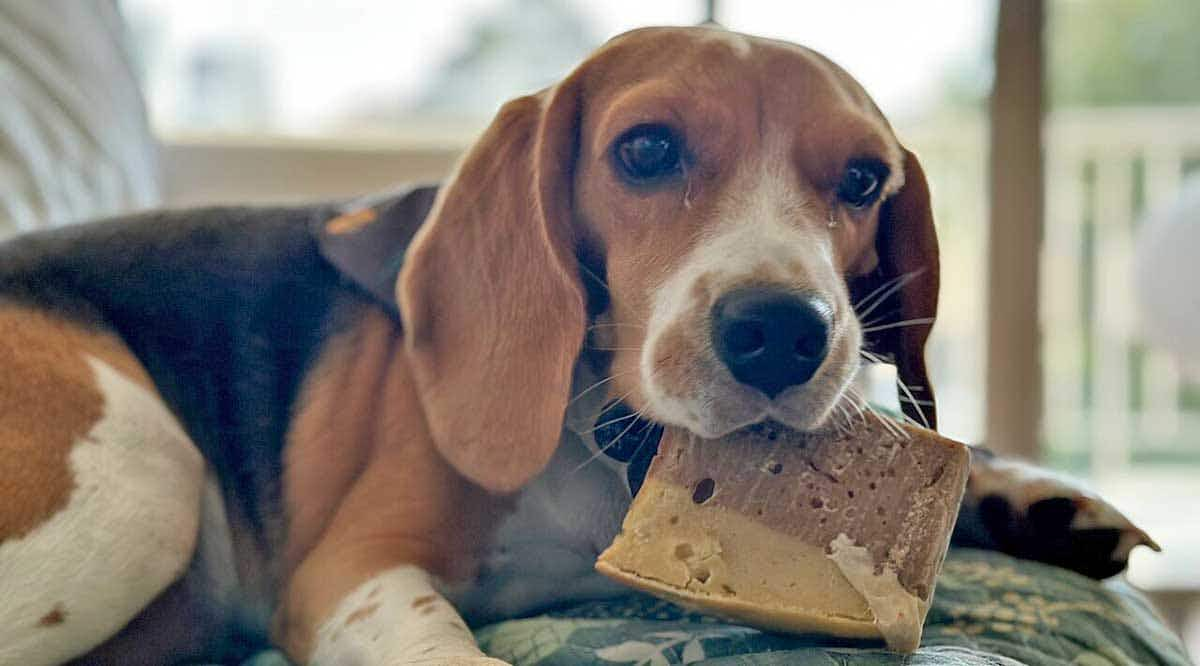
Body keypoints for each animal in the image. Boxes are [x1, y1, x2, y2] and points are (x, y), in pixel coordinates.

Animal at [2, 24, 1161, 666]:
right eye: (644, 151)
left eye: (865, 179)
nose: (783, 332)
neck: (611, 448)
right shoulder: (345, 572)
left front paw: (1027, 496)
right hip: (140, 473)